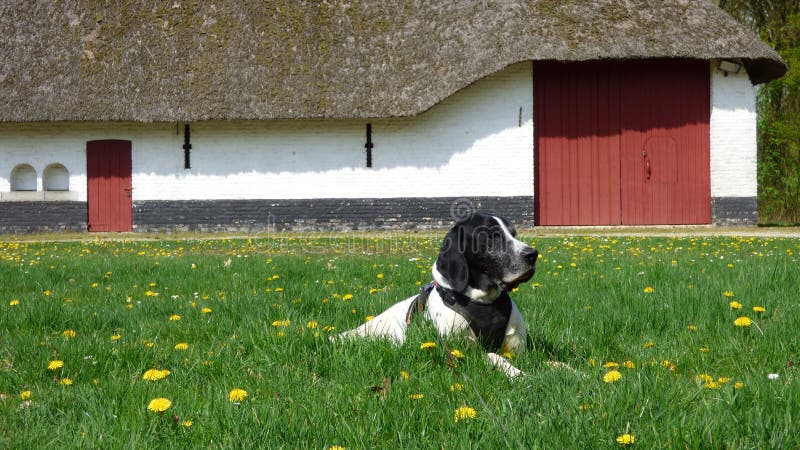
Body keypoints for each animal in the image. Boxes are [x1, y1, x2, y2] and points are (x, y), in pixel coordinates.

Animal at [334, 213, 540, 378]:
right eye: (492, 236)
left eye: (514, 234)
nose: (533, 254)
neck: (482, 301)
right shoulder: (460, 352)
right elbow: (491, 355)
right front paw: (516, 373)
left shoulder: (518, 349)